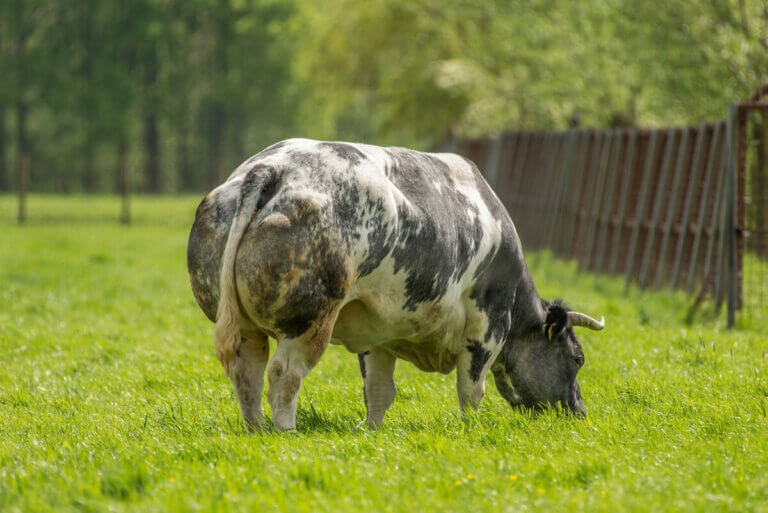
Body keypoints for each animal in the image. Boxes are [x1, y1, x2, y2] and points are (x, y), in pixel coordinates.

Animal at [188, 138, 608, 430]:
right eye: (577, 358)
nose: (579, 412)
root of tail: (272, 167)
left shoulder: (377, 332)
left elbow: (379, 391)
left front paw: (372, 431)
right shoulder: (487, 325)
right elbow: (471, 389)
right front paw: (471, 430)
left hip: (246, 327)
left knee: (247, 373)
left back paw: (256, 430)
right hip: (309, 321)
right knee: (283, 375)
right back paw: (284, 432)